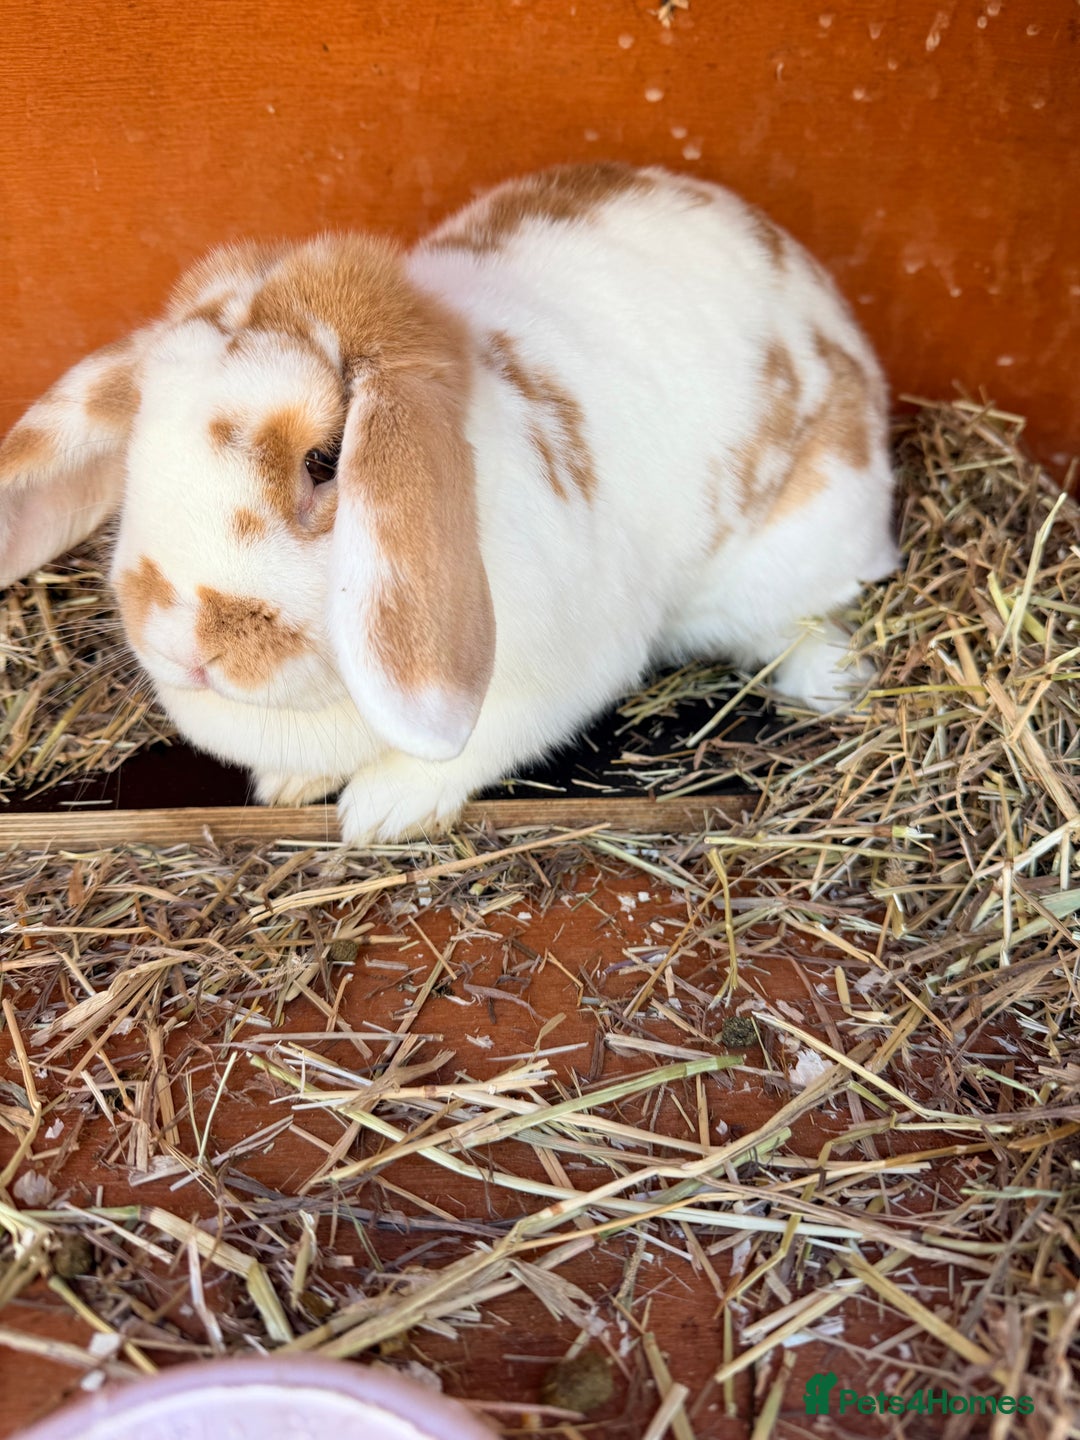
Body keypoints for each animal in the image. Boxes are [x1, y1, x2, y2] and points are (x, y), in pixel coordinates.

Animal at [0, 162, 898, 843]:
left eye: (324, 461)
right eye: (140, 440)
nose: (182, 641)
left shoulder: (565, 676)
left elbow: (475, 747)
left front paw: (377, 811)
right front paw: (285, 784)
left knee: (794, 623)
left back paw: (838, 681)